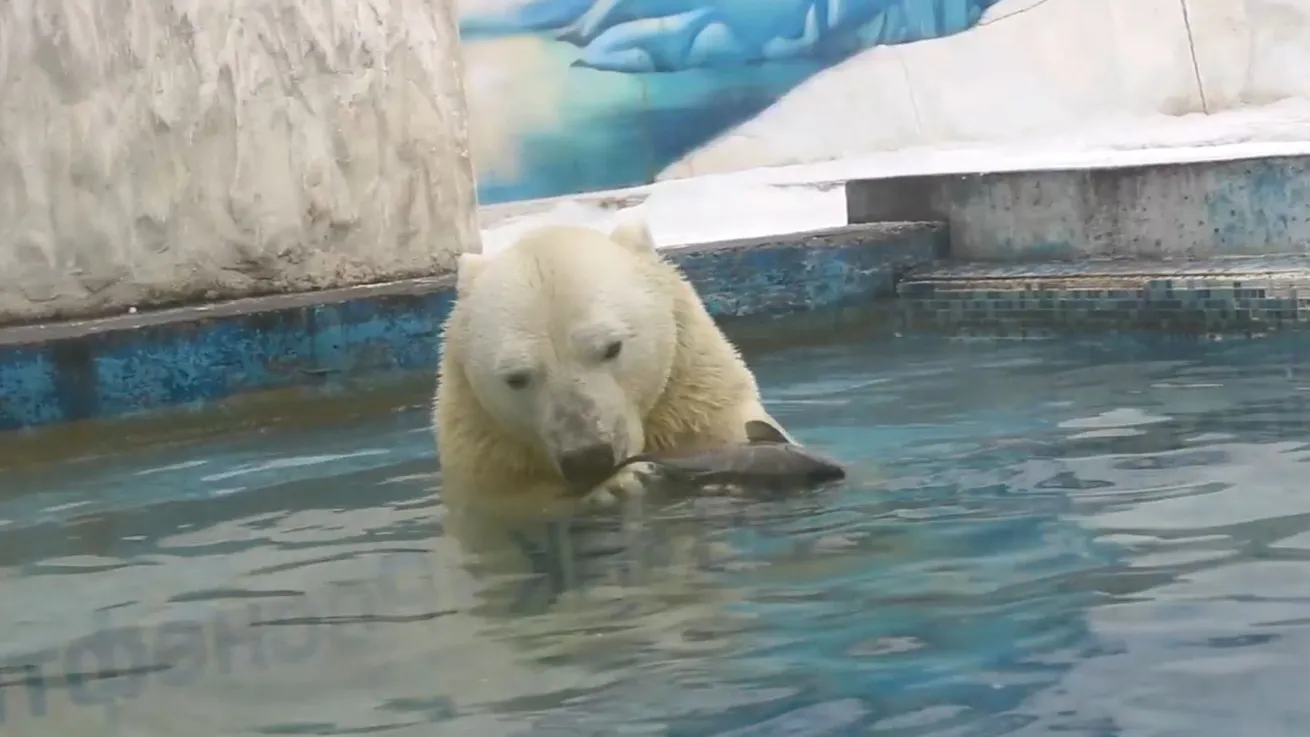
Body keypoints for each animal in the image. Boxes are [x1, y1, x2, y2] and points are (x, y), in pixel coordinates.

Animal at [434, 218, 791, 518]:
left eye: (612, 347)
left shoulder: (698, 403)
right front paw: (619, 485)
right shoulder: (485, 455)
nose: (588, 459)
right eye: (516, 378)